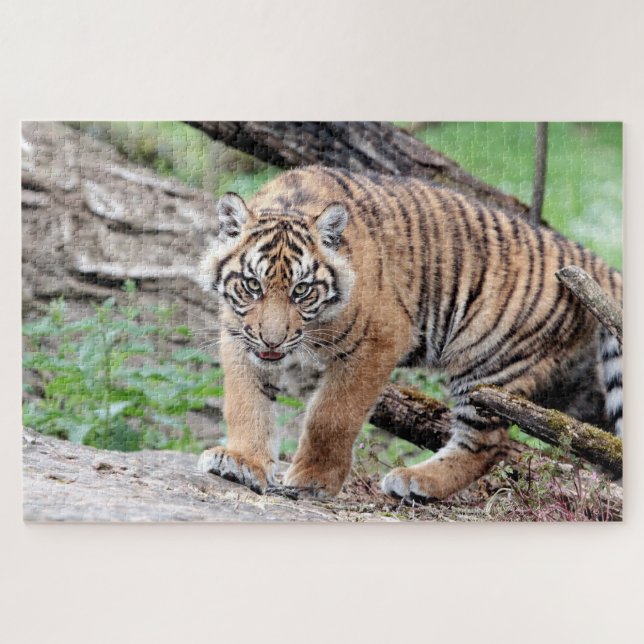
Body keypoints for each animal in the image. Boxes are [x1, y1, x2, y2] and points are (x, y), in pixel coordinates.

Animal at [197, 165, 623, 502]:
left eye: (302, 290)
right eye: (252, 285)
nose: (272, 340)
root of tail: (590, 261)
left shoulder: (378, 341)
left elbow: (331, 416)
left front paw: (311, 482)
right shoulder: (240, 338)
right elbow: (245, 402)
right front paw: (240, 462)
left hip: (488, 365)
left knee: (488, 445)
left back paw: (418, 481)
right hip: (574, 389)